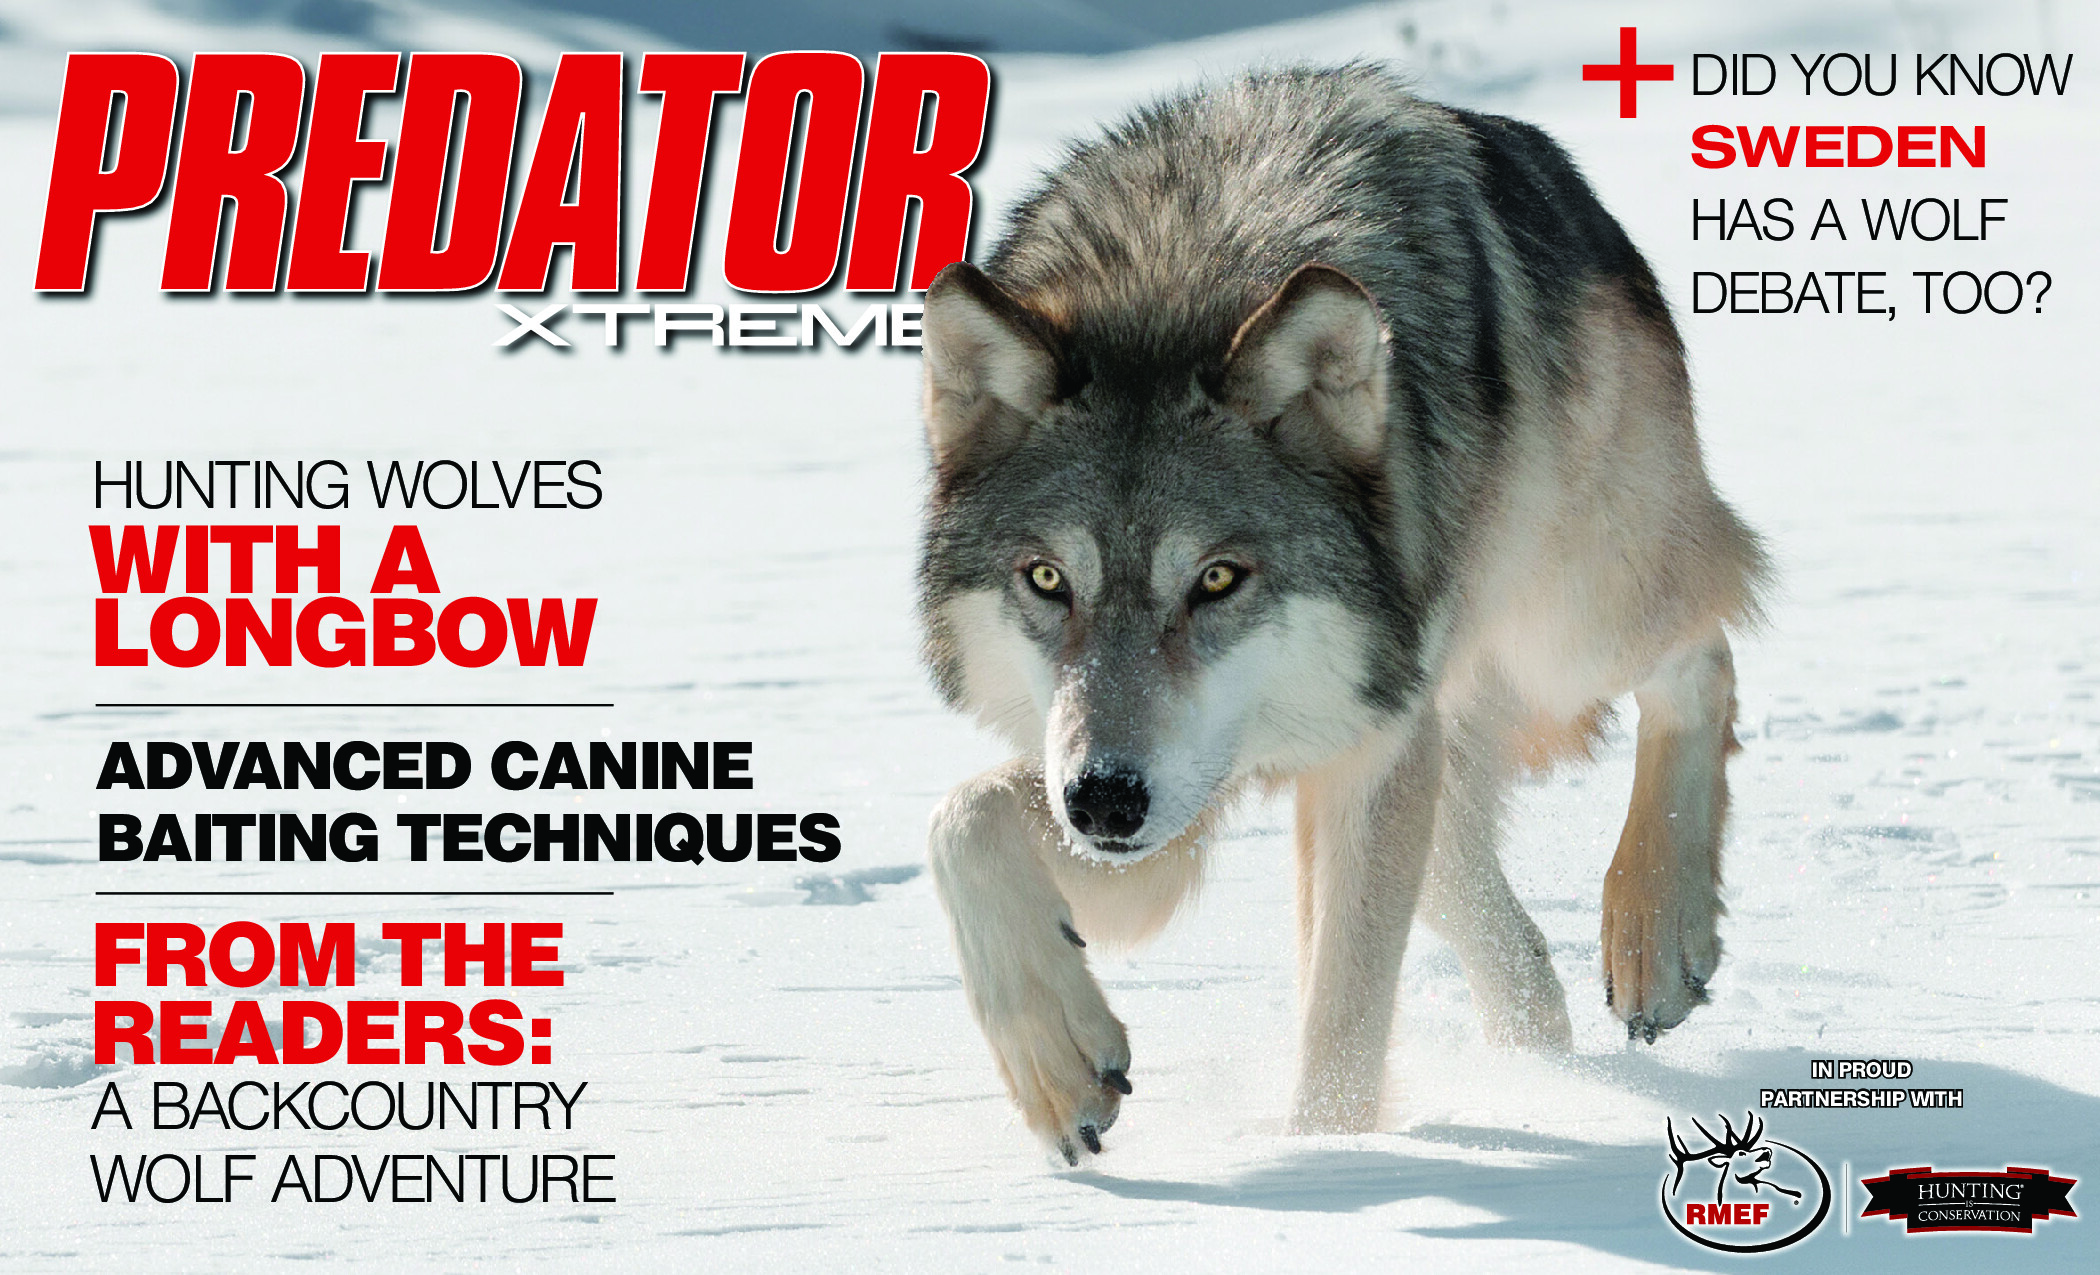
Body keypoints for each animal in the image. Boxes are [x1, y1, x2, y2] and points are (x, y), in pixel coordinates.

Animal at [916, 64, 1769, 1163]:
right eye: (1047, 579)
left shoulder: (1348, 751)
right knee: (1487, 912)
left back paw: (1654, 940)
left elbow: (1346, 1013)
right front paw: (1059, 1069)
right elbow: (962, 821)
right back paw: (1539, 1063)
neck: (1176, 282)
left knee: (1704, 652)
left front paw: (1326, 1160)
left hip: (1565, 628)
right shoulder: (1172, 801)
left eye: (1219, 579)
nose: (1104, 801)